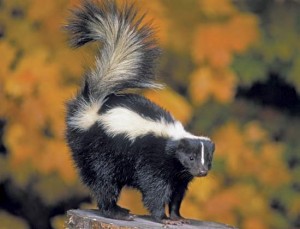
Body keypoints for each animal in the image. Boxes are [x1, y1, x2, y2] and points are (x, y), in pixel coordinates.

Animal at [66, 0, 216, 224]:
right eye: (191, 158)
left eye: (208, 159)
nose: (202, 171)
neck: (172, 145)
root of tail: (92, 108)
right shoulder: (154, 162)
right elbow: (155, 189)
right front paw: (163, 218)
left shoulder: (179, 175)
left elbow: (177, 195)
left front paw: (177, 216)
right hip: (99, 152)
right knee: (104, 181)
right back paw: (115, 211)